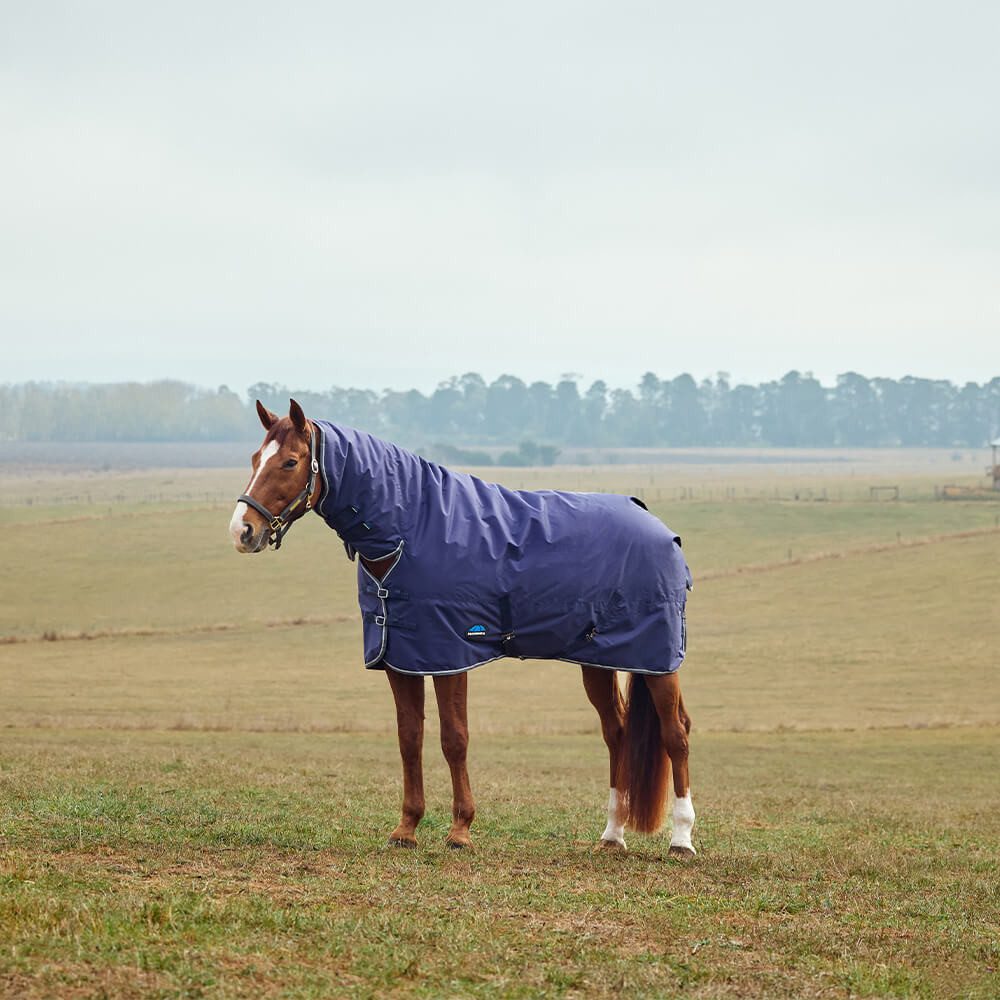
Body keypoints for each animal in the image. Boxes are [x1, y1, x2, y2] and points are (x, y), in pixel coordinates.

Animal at [229, 399, 696, 857]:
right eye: (254, 458)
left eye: (290, 462)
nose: (242, 530)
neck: (412, 530)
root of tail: (661, 528)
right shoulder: (401, 658)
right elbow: (409, 738)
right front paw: (406, 829)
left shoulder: (449, 655)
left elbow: (454, 739)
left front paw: (460, 831)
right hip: (598, 661)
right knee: (616, 734)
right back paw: (612, 836)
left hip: (659, 660)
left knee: (676, 733)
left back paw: (681, 840)